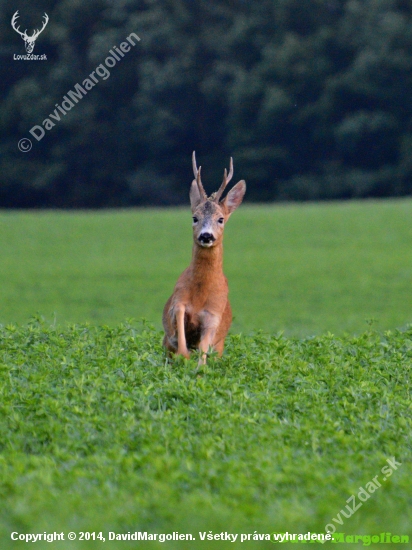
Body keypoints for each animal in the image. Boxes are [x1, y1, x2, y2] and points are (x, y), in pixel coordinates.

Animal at [161, 153, 245, 364]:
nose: (206, 236)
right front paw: (184, 354)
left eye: (221, 219)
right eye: (194, 218)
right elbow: (180, 321)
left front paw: (197, 365)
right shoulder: (178, 301)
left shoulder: (213, 315)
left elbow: (203, 349)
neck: (200, 295)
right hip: (165, 343)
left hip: (220, 347)